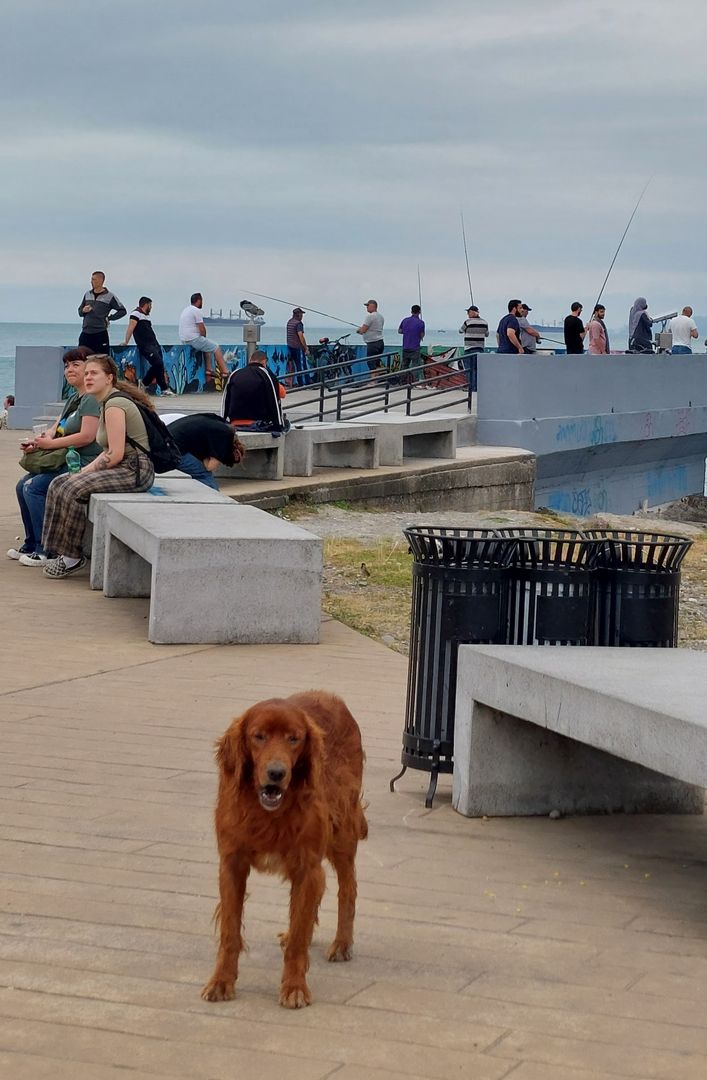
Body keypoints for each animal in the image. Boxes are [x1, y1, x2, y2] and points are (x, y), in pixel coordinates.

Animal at [198, 686, 364, 1006]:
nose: (276, 773)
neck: (268, 813)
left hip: (341, 831)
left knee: (347, 887)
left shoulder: (307, 865)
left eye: (294, 738)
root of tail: (333, 697)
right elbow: (230, 931)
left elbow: (299, 937)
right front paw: (222, 981)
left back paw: (342, 943)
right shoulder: (232, 864)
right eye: (259, 736)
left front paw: (294, 986)